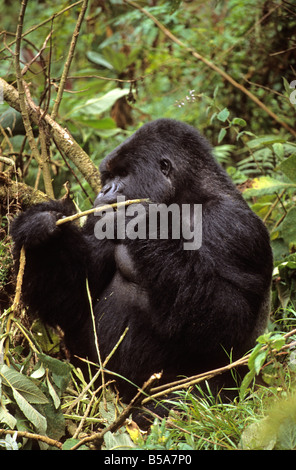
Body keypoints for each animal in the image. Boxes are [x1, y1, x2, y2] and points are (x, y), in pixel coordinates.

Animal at [10, 120, 272, 414]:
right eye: (108, 177)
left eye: (123, 174)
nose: (104, 191)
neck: (184, 199)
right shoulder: (102, 221)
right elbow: (76, 298)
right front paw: (42, 228)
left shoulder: (233, 226)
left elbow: (228, 322)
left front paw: (145, 223)